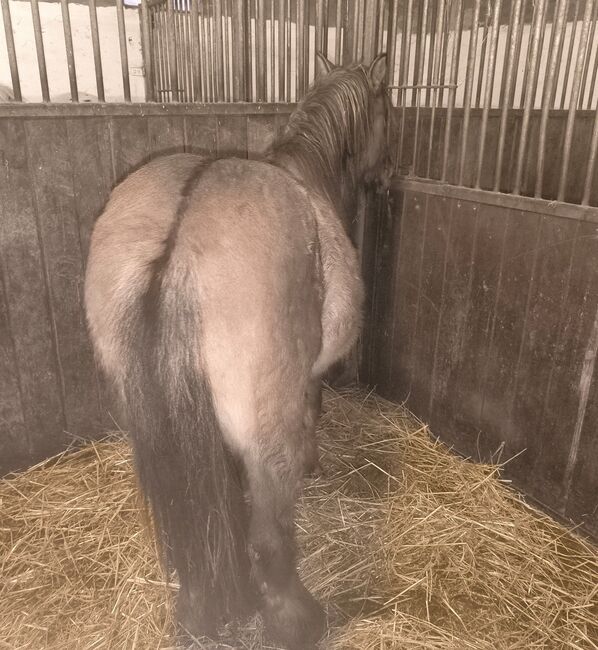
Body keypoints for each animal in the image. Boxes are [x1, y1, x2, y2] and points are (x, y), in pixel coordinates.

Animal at [84, 52, 391, 650]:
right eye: (386, 111)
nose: (388, 177)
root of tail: (179, 241)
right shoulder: (306, 384)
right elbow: (312, 415)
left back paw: (198, 611)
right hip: (266, 436)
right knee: (271, 534)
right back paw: (296, 621)